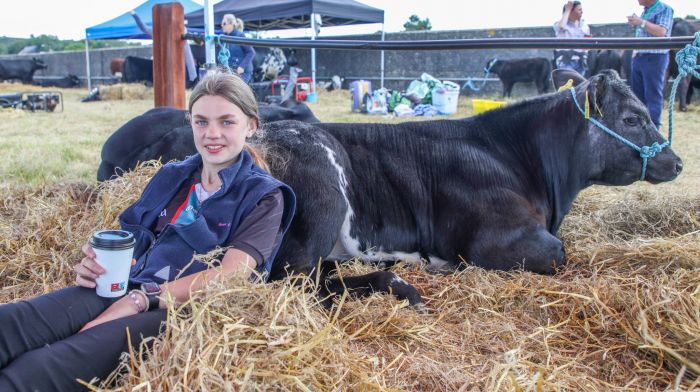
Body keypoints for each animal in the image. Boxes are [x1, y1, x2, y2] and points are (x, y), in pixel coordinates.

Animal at [253, 69, 684, 310]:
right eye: (632, 118)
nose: (676, 161)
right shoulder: (495, 242)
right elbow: (560, 254)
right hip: (321, 207)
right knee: (299, 285)